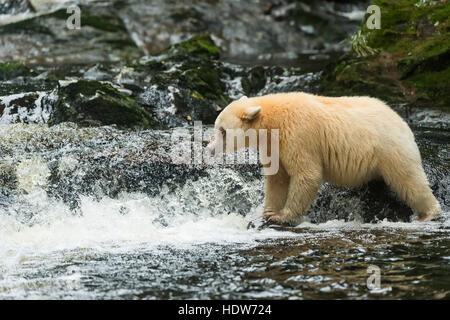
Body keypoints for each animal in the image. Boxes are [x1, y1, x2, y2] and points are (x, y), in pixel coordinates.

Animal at [207, 91, 440, 224]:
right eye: (216, 127)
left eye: (222, 131)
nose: (209, 149)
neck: (274, 120)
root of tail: (401, 120)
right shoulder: (274, 146)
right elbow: (277, 178)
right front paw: (268, 211)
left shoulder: (299, 136)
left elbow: (307, 174)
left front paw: (281, 216)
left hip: (389, 148)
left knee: (409, 180)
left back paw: (429, 212)